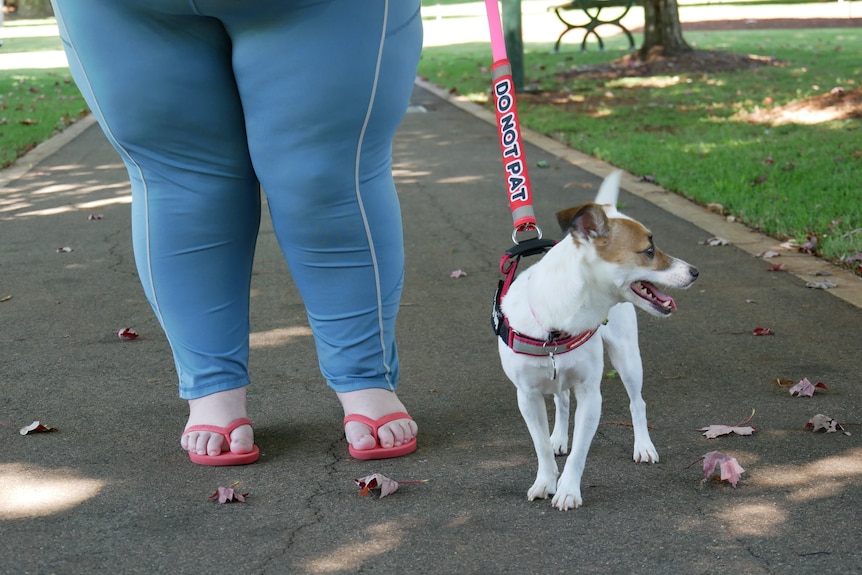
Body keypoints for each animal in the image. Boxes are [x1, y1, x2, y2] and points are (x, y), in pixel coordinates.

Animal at [496, 170, 700, 508]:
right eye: (648, 251)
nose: (695, 271)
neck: (560, 319)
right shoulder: (526, 396)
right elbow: (540, 445)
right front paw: (546, 480)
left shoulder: (591, 395)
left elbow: (580, 452)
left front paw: (567, 489)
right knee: (562, 402)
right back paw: (559, 437)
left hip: (627, 357)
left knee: (637, 403)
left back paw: (643, 445)